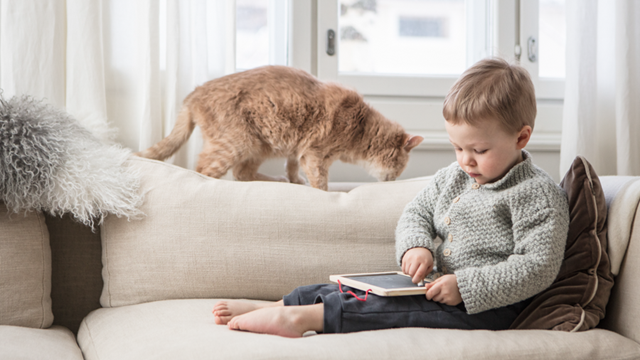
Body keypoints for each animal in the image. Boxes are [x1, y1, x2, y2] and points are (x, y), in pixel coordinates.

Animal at [136, 65, 420, 190]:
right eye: (400, 167)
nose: (394, 180)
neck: (360, 128)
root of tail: (193, 94)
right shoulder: (315, 154)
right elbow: (320, 181)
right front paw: (321, 192)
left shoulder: (298, 148)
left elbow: (293, 166)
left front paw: (295, 180)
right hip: (238, 143)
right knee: (204, 171)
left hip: (259, 146)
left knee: (242, 174)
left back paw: (278, 181)